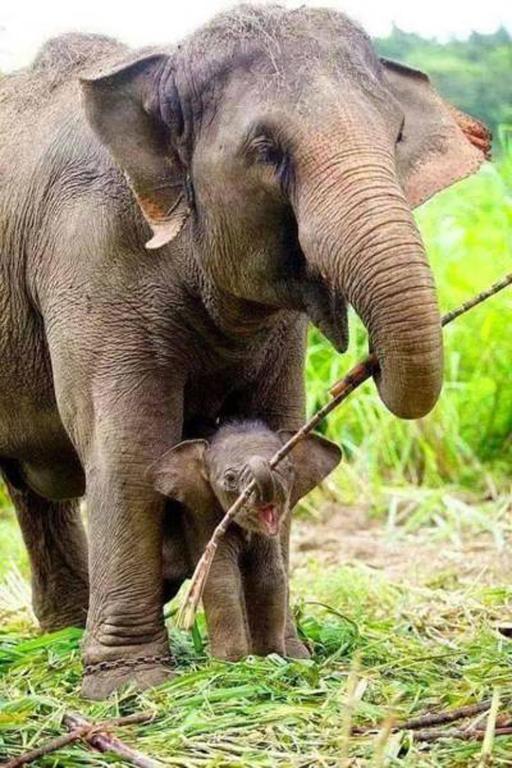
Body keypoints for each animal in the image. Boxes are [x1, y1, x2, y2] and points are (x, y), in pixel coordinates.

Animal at [153, 419, 341, 660]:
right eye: (230, 479)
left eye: (289, 469)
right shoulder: (202, 517)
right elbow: (221, 579)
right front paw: (232, 663)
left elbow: (269, 575)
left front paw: (270, 658)